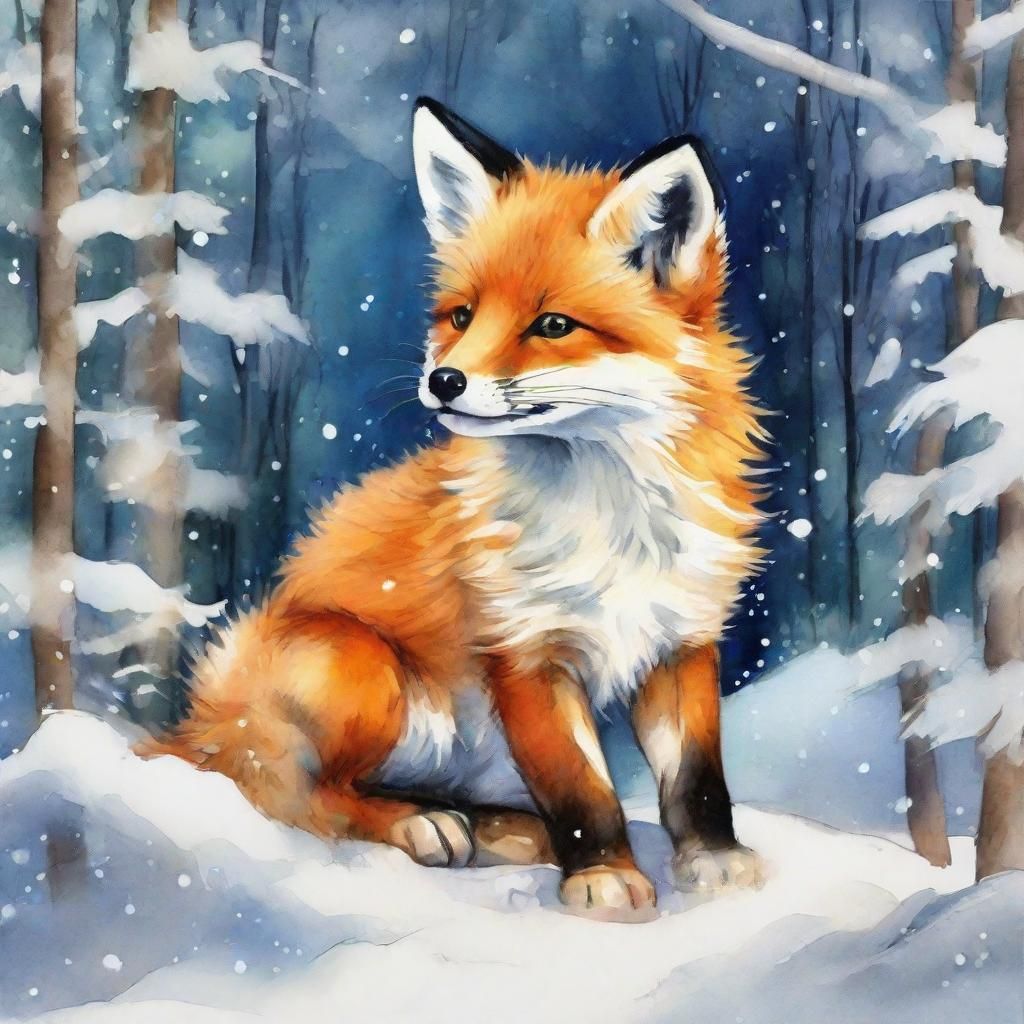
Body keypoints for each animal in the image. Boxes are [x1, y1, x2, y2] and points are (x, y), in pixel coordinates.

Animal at [141, 98, 769, 921]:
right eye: (464, 316)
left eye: (553, 325)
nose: (443, 380)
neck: (609, 515)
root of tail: (201, 725)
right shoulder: (525, 653)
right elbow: (581, 788)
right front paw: (604, 876)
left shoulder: (681, 640)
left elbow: (695, 779)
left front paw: (714, 859)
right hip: (367, 669)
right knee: (296, 795)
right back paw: (422, 825)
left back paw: (499, 828)